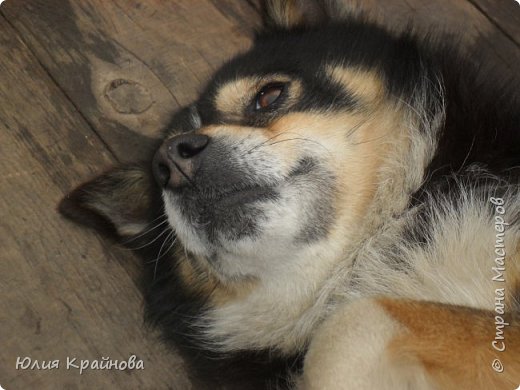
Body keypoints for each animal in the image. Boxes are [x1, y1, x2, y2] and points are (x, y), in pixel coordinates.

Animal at [59, 1, 516, 388]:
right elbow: (348, 326)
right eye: (157, 180)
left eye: (269, 95)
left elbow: (350, 323)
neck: (369, 250)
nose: (171, 160)